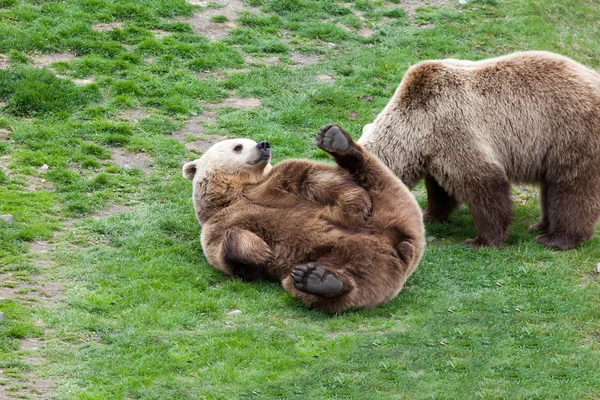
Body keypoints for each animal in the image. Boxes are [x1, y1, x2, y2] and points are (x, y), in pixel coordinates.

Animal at [183, 125, 426, 312]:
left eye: (248, 141)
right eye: (237, 146)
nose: (263, 144)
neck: (235, 192)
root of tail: (399, 244)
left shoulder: (277, 182)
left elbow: (312, 176)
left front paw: (357, 204)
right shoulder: (217, 224)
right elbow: (228, 254)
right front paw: (260, 252)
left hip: (394, 206)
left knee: (377, 176)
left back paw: (336, 140)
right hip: (370, 260)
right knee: (359, 280)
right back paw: (319, 279)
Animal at [358, 50, 600, 250]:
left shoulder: (452, 128)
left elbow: (484, 184)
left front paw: (480, 240)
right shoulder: (434, 151)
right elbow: (439, 189)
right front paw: (429, 214)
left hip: (572, 133)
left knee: (572, 187)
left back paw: (557, 239)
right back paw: (540, 226)